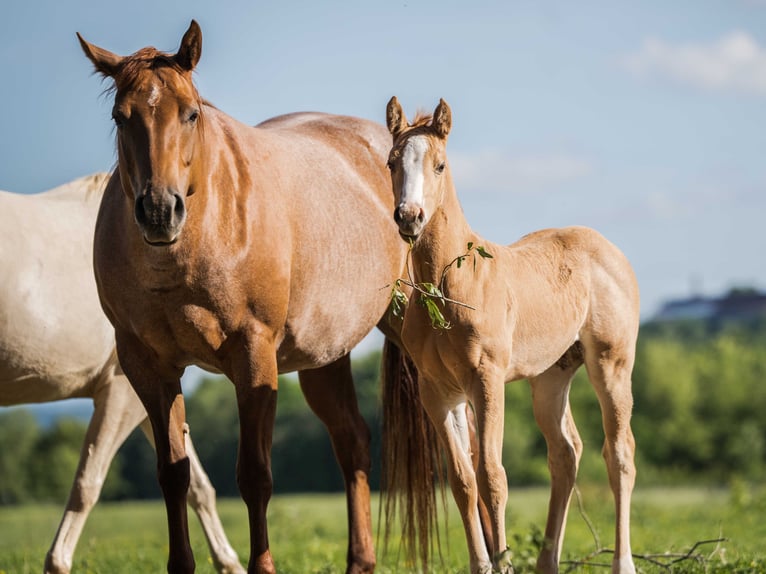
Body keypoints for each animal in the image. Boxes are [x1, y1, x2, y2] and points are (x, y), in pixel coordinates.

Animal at [77, 20, 412, 573]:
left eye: (191, 113)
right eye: (120, 117)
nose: (159, 211)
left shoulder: (253, 356)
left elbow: (254, 475)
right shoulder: (148, 365)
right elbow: (174, 474)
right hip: (325, 355)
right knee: (353, 443)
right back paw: (360, 560)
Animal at [381, 97, 639, 574]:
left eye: (440, 164)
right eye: (391, 162)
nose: (409, 216)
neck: (454, 284)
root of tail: (609, 249)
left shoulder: (487, 381)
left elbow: (492, 476)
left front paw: (502, 564)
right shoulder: (437, 392)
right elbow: (463, 481)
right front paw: (482, 566)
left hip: (612, 364)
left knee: (619, 455)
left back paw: (623, 563)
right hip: (551, 376)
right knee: (565, 454)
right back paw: (547, 563)